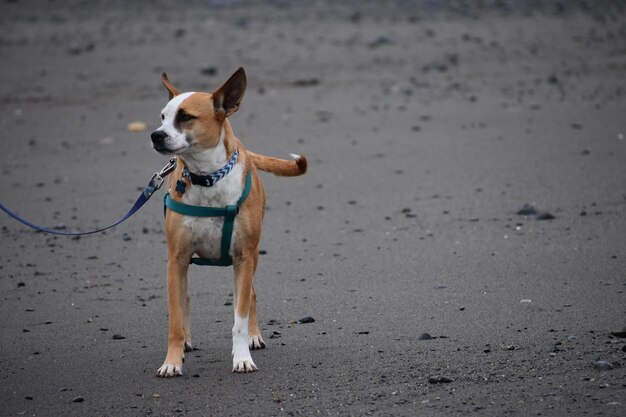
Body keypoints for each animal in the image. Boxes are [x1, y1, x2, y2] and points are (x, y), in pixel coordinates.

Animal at [151, 66, 308, 376]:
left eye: (185, 117)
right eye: (163, 116)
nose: (155, 135)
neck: (207, 178)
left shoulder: (243, 257)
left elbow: (240, 317)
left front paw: (242, 356)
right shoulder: (176, 258)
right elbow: (175, 318)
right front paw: (172, 360)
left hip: (252, 258)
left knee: (251, 296)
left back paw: (254, 336)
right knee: (185, 299)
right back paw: (186, 342)